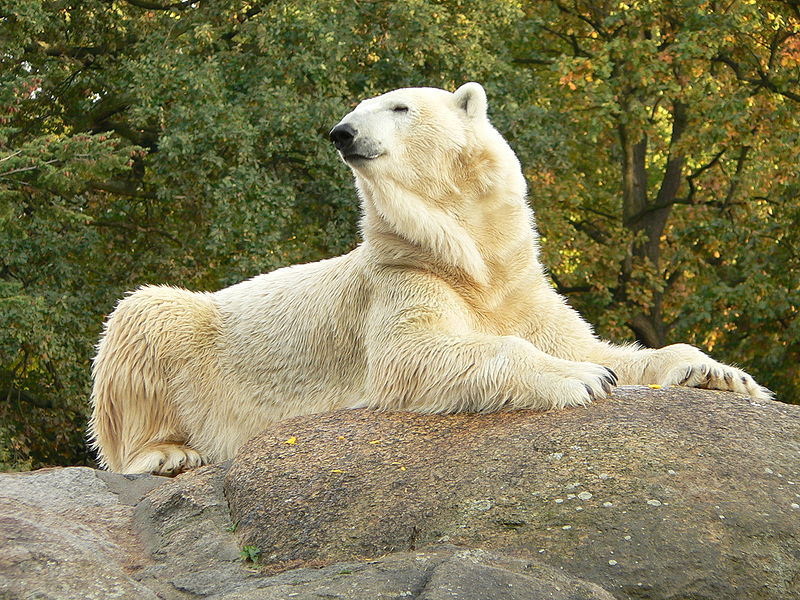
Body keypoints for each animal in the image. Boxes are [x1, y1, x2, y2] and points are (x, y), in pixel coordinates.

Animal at [89, 83, 776, 474]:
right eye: (354, 109)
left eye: (398, 106)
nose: (343, 132)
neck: (471, 260)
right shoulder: (401, 278)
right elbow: (414, 353)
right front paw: (580, 378)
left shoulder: (518, 286)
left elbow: (591, 342)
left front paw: (719, 373)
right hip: (185, 336)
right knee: (141, 319)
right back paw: (166, 453)